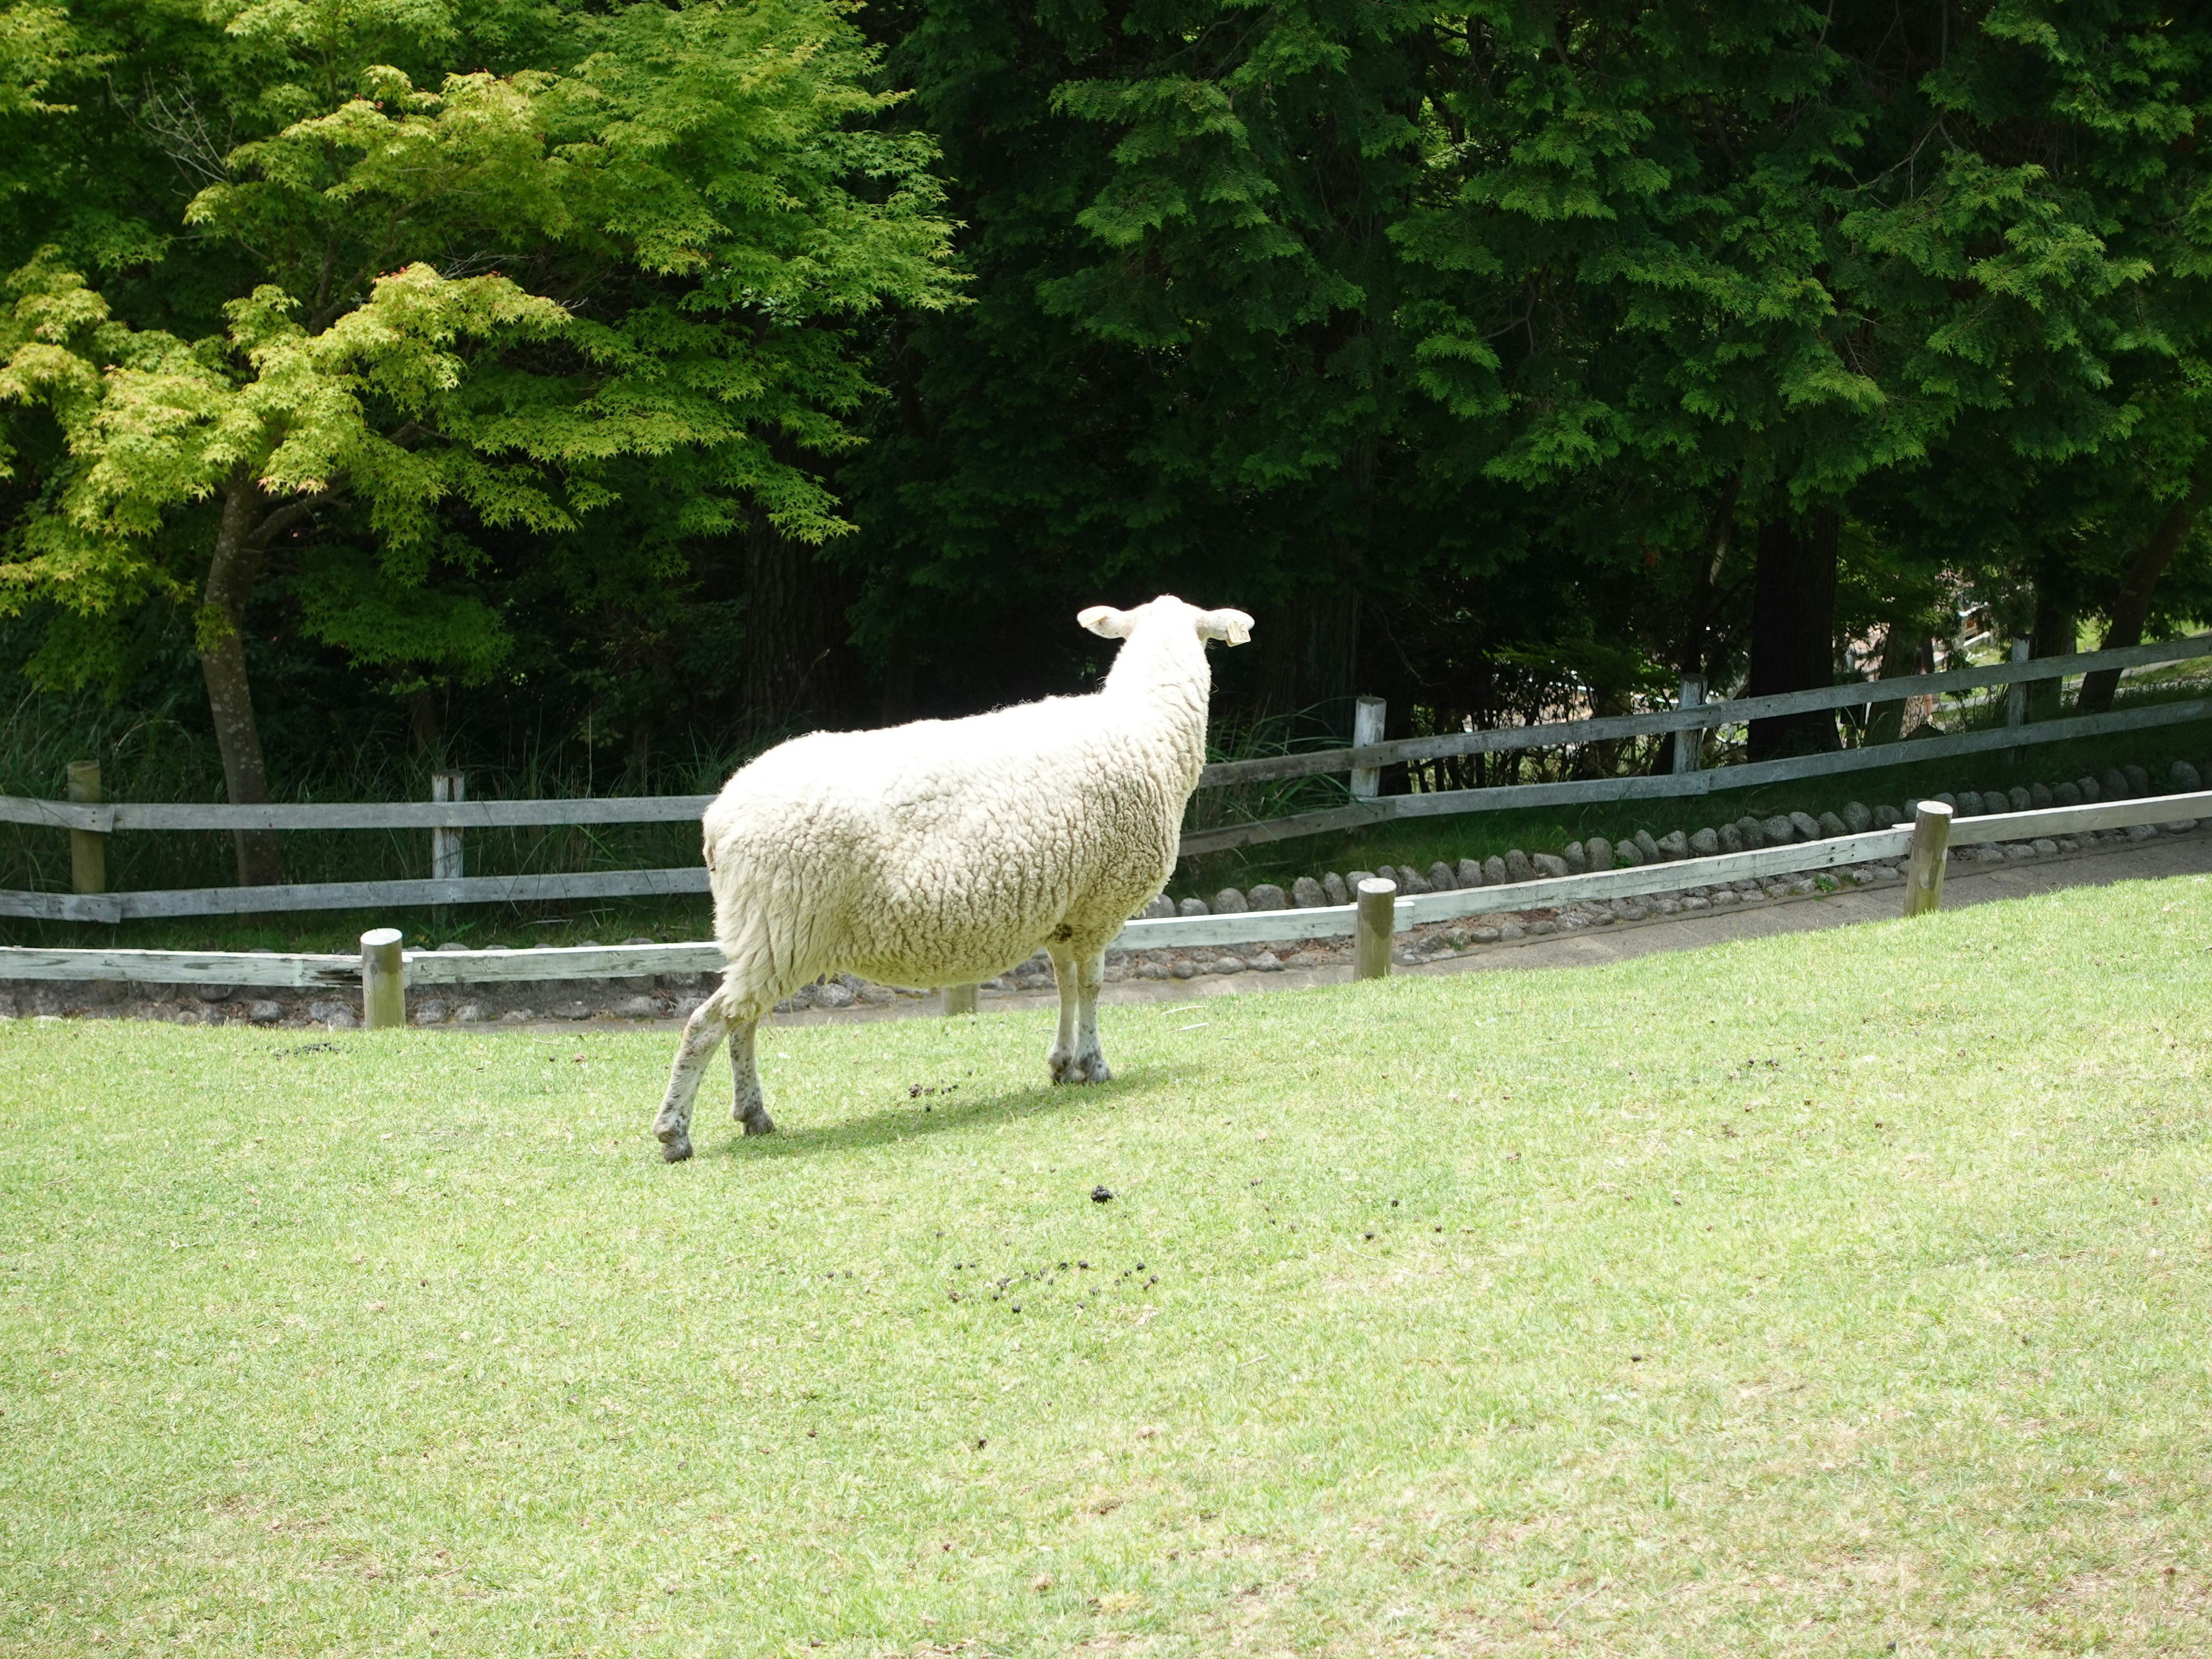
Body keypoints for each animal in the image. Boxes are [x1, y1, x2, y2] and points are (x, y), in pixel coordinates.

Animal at [646, 601, 1256, 1168]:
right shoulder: (1099, 906)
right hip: (783, 926)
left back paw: (754, 1116)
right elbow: (1091, 988)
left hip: (761, 933)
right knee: (706, 1024)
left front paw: (1063, 1064)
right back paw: (675, 1133)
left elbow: (1063, 986)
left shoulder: (1065, 911)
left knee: (740, 1021)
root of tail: (719, 818)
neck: (1149, 728)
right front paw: (1094, 1064)